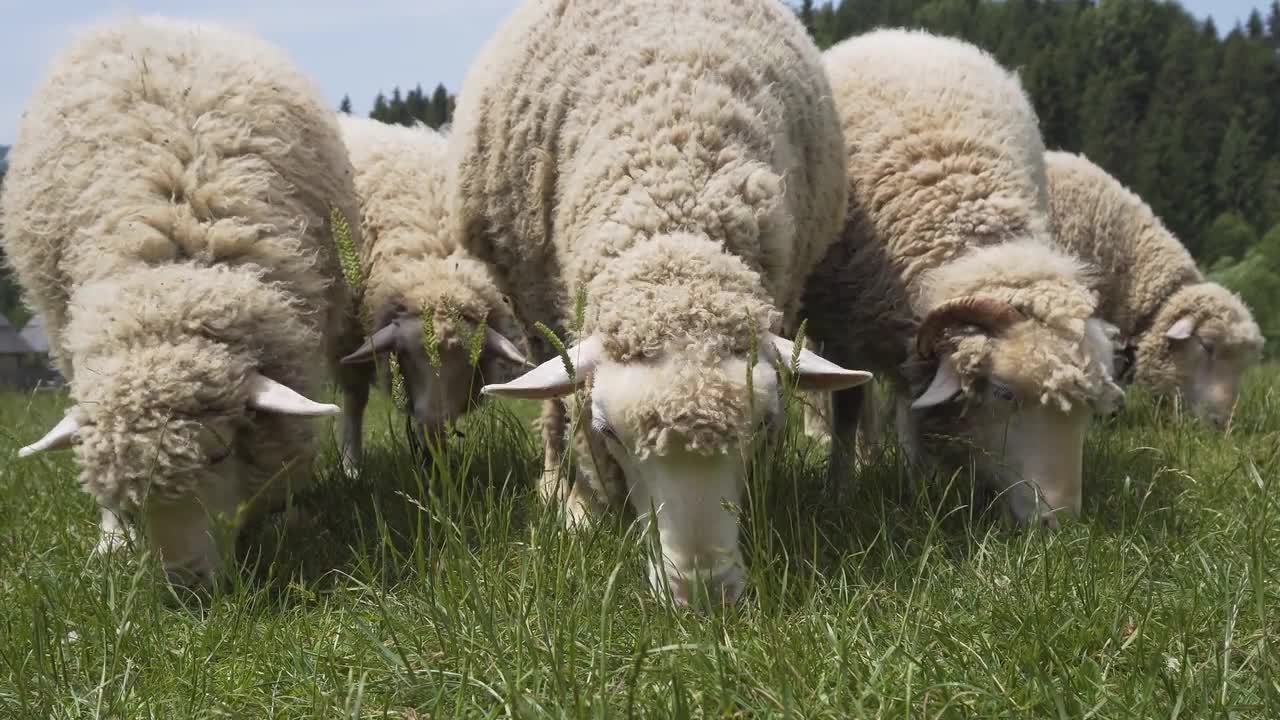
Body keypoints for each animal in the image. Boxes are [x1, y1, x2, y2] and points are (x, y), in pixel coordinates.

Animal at [0, 18, 366, 584]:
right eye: (127, 490)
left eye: (219, 456)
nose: (187, 585)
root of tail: (142, 20)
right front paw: (113, 539)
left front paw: (288, 519)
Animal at [335, 114, 529, 468]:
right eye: (406, 354)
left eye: (471, 359)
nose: (434, 428)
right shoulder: (346, 333)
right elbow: (355, 399)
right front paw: (350, 466)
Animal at [445, 0, 875, 602]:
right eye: (608, 432)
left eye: (766, 426)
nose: (701, 593)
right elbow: (566, 412)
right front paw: (581, 509)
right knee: (550, 403)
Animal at [803, 28, 1126, 525]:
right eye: (1004, 393)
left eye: (1088, 408)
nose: (1059, 521)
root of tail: (909, 35)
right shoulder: (842, 327)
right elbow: (848, 408)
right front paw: (840, 491)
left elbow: (913, 414)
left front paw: (920, 490)